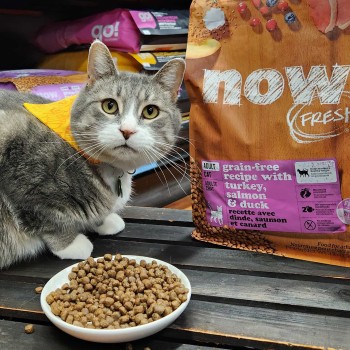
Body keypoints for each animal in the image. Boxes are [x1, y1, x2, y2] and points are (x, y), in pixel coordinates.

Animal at [0, 41, 186, 270]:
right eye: (109, 105)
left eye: (150, 111)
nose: (127, 130)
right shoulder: (17, 152)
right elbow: (46, 215)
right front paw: (70, 244)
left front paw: (104, 221)